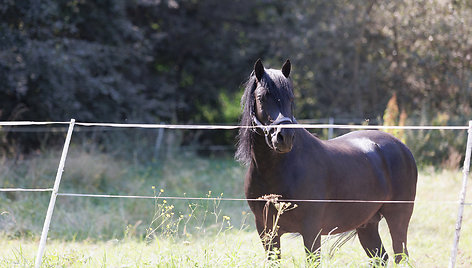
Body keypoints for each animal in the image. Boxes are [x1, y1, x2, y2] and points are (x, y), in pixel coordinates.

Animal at [236, 59, 416, 264]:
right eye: (261, 97)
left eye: (291, 98)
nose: (285, 137)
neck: (278, 170)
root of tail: (402, 147)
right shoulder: (267, 231)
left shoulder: (311, 230)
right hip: (367, 224)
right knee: (380, 257)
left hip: (398, 218)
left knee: (401, 255)